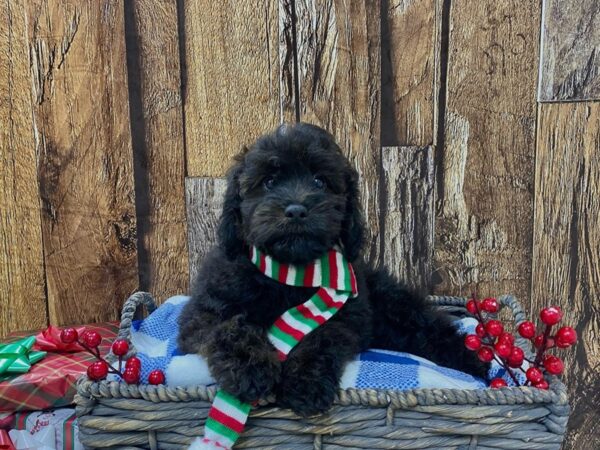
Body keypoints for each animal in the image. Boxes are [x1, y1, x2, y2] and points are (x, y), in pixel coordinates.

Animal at [179, 122, 488, 414]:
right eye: (268, 181)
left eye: (320, 181)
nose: (296, 211)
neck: (290, 273)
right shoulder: (202, 313)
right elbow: (228, 328)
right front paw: (252, 371)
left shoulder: (345, 318)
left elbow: (320, 339)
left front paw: (305, 385)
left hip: (399, 308)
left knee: (434, 330)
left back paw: (477, 363)